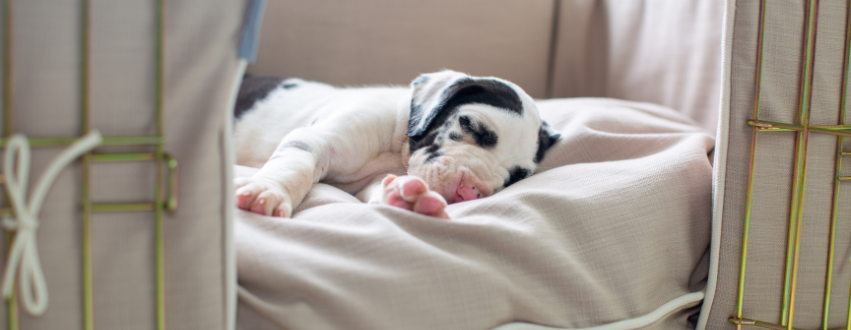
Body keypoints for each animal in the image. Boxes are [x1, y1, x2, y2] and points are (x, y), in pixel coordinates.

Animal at [231, 69, 560, 219]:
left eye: (516, 177)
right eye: (470, 125)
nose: (469, 192)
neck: (395, 144)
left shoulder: (372, 181)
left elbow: (380, 187)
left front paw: (405, 197)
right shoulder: (314, 141)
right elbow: (293, 168)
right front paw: (267, 190)